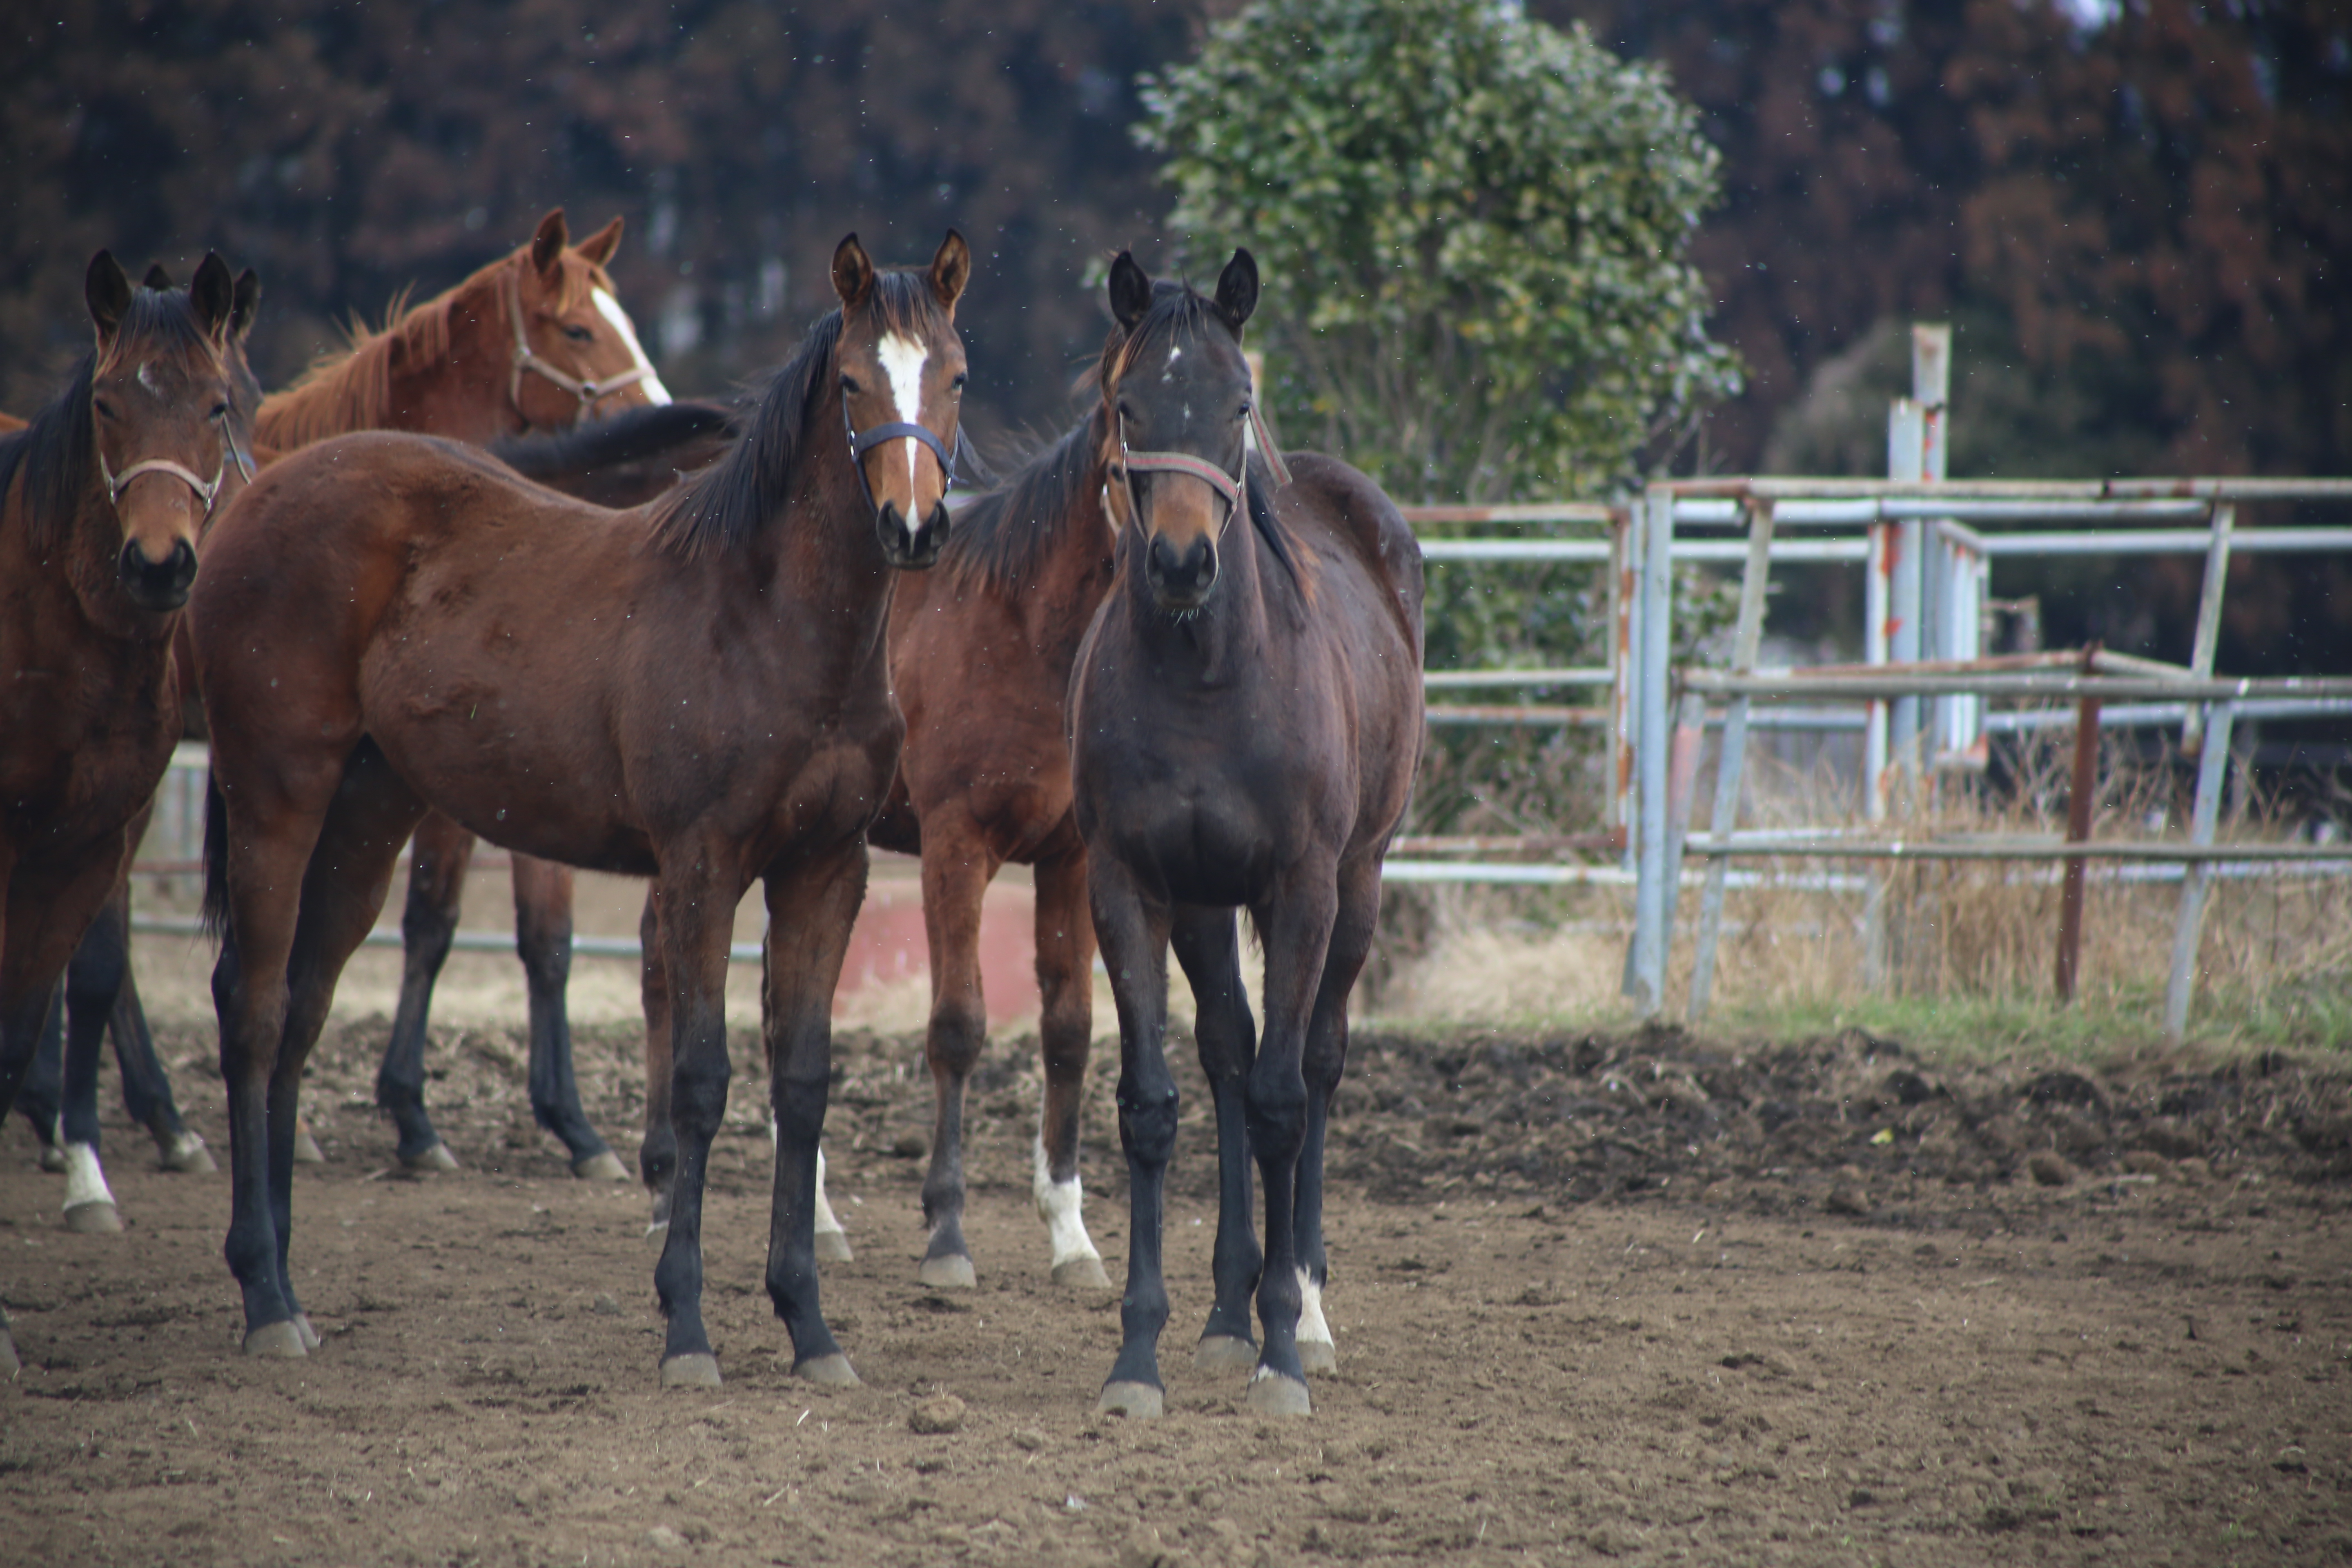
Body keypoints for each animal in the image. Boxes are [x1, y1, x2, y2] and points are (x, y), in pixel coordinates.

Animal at [193, 232, 973, 1382]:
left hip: (364, 821)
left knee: (298, 1011)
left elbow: (801, 1080)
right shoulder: (700, 867)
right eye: (850, 382)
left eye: (955, 376)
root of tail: (253, 495)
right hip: (276, 796)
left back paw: (283, 1273)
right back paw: (260, 1292)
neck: (768, 621)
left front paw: (809, 1324)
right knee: (249, 1011)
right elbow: (699, 1079)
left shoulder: (826, 868)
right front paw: (687, 1326)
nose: (912, 527)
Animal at [865, 402, 1119, 1288]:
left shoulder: (1073, 859)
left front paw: (1071, 1235)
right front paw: (946, 1232)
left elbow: (1069, 1028)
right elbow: (957, 1025)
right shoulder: (956, 847)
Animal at [1072, 248, 1430, 1420]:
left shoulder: (1304, 887)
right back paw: (1229, 1312)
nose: (1184, 563)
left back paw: (1302, 1307)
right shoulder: (1132, 888)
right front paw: (1139, 1358)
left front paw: (1285, 1352)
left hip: (1359, 886)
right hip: (1203, 906)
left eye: (1237, 405)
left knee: (1313, 1063)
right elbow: (1156, 1106)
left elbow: (1283, 1103)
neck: (1207, 679)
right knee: (1229, 1051)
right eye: (1130, 407)